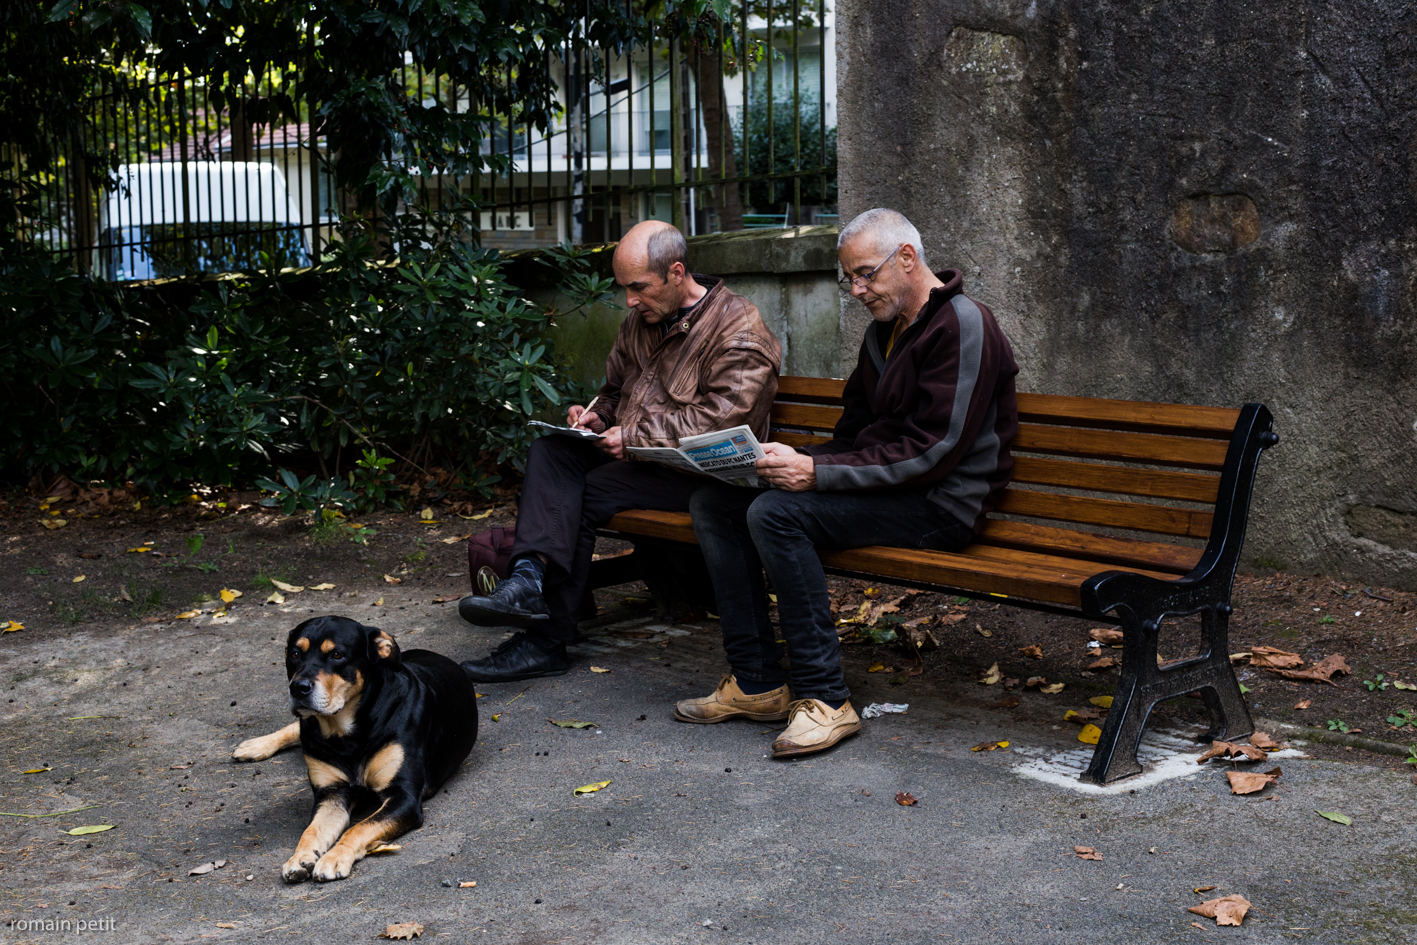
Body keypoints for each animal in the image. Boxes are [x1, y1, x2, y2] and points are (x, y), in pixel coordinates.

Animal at [232, 617, 476, 884]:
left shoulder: (403, 796)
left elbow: (358, 828)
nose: (298, 687)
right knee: (296, 727)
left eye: (336, 655)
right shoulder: (332, 794)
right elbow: (312, 830)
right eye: (295, 654)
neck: (346, 734)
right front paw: (299, 858)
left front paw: (334, 857)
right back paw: (255, 746)